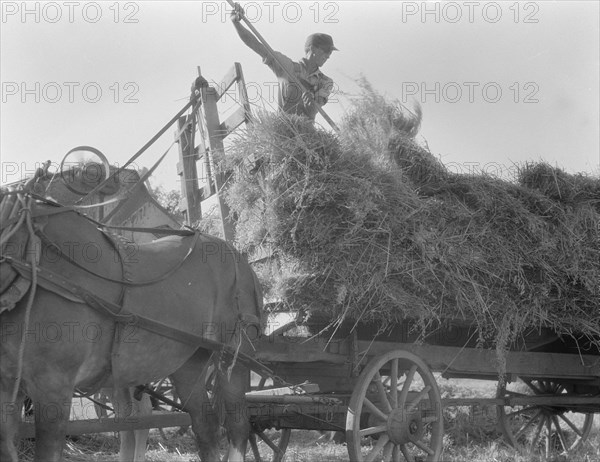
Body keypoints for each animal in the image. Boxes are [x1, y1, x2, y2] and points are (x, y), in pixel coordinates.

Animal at [0, 179, 262, 460]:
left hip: (233, 357)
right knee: (206, 426)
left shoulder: (53, 385)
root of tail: (238, 255)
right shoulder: (8, 387)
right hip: (187, 363)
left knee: (237, 425)